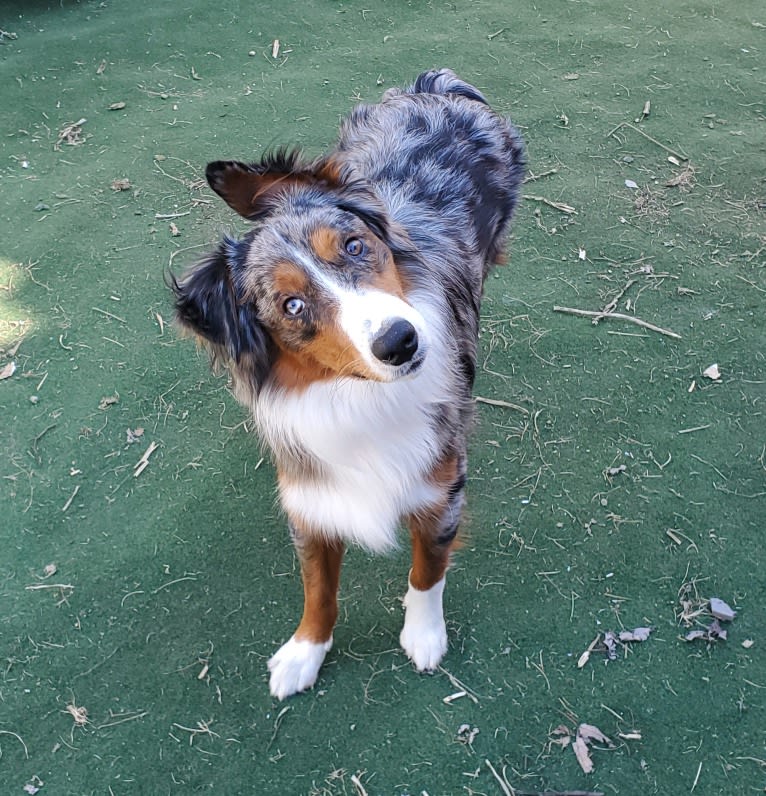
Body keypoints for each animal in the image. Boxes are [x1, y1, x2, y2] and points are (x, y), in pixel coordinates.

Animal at [171, 70, 524, 704]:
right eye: (291, 305)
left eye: (355, 246)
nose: (400, 341)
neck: (357, 397)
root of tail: (435, 86)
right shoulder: (311, 499)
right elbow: (319, 590)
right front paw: (304, 652)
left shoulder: (441, 488)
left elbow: (427, 570)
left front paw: (423, 634)